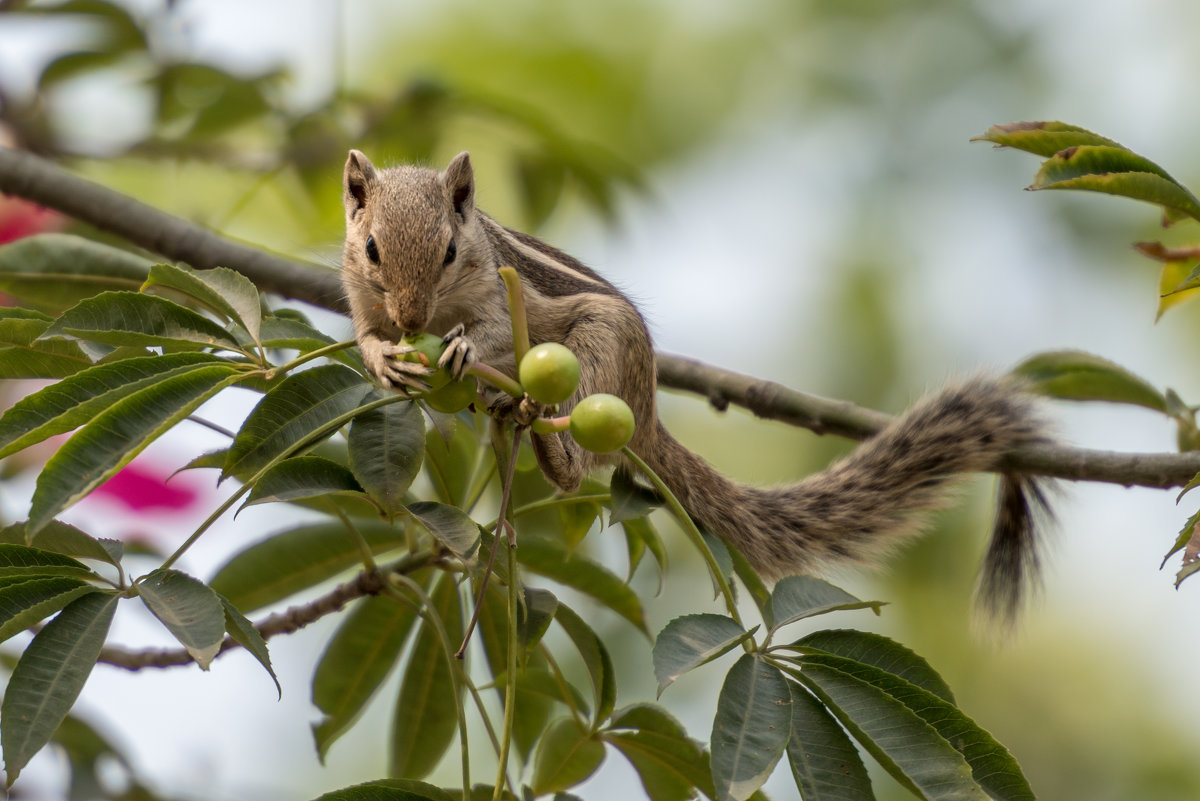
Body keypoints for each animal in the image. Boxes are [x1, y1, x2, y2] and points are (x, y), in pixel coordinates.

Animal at [340, 146, 1051, 618]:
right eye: (371, 248)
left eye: (449, 253)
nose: (413, 321)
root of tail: (647, 409)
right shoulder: (361, 299)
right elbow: (364, 334)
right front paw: (384, 359)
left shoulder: (493, 291)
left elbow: (488, 331)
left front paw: (461, 348)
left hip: (601, 351)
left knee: (572, 467)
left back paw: (550, 447)